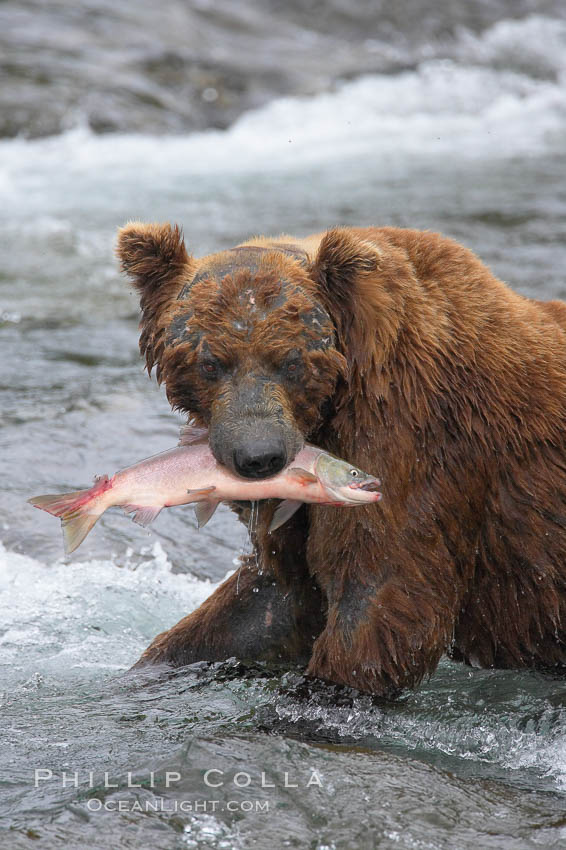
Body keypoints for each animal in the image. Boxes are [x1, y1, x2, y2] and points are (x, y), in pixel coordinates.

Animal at [117, 220, 566, 696]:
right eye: (210, 362)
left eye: (290, 361)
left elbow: (381, 595)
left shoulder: (409, 436)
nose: (259, 456)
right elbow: (271, 602)